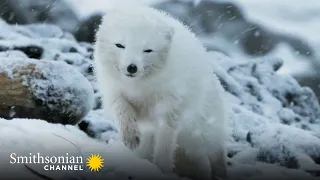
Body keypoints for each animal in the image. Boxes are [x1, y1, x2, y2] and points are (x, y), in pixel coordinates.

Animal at [92, 4, 228, 180]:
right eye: (120, 45)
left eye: (148, 50)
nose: (131, 67)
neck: (139, 87)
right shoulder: (113, 92)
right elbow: (121, 107)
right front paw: (131, 137)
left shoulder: (171, 105)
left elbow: (165, 140)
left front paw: (162, 167)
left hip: (205, 131)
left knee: (217, 151)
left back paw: (221, 173)